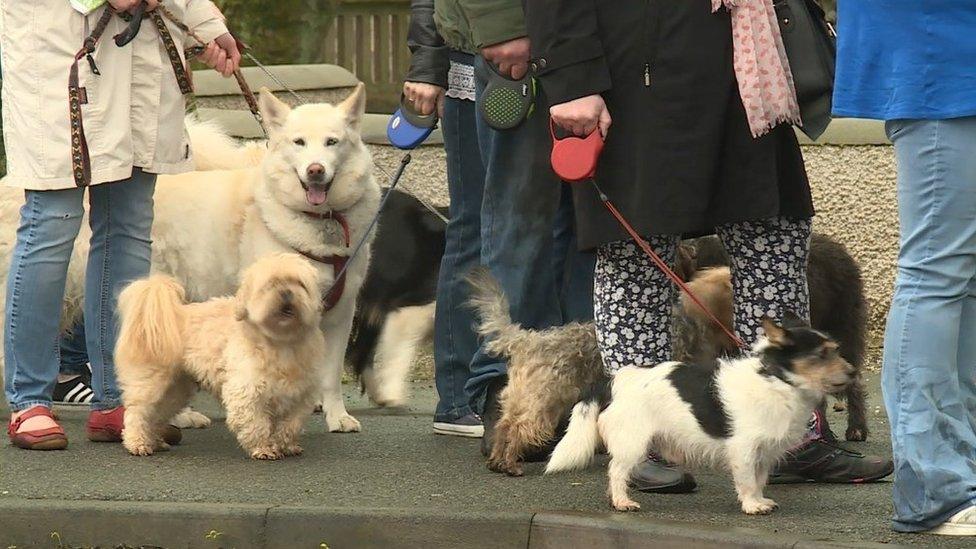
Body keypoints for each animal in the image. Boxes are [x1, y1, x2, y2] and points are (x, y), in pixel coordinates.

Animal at [0, 84, 380, 432]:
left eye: (332, 142)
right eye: (298, 142)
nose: (315, 170)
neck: (318, 222)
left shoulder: (340, 313)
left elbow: (329, 375)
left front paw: (336, 417)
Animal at [117, 254, 324, 458]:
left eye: (299, 283)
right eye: (270, 284)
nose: (286, 292)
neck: (281, 343)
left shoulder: (299, 396)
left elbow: (290, 425)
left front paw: (286, 446)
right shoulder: (247, 392)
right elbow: (256, 424)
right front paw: (263, 448)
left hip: (175, 390)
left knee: (156, 415)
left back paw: (155, 442)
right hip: (150, 382)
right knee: (138, 412)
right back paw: (137, 443)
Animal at [548, 312, 856, 512]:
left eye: (835, 349)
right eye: (822, 355)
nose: (853, 372)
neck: (777, 381)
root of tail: (613, 382)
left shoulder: (763, 454)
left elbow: (759, 480)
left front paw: (759, 500)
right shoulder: (743, 449)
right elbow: (746, 480)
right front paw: (751, 505)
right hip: (632, 443)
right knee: (616, 472)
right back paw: (622, 501)